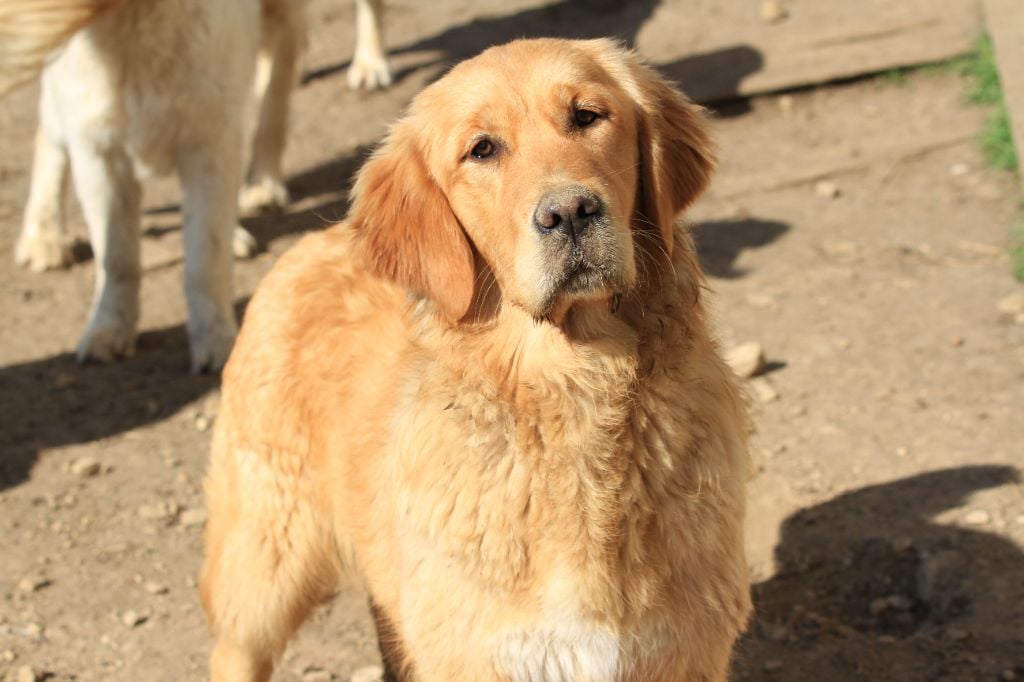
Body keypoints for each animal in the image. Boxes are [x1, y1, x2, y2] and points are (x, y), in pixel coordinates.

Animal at [2, 0, 391, 368]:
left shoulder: (211, 143)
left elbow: (205, 259)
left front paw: (216, 341)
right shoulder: (97, 149)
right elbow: (117, 258)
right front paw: (108, 329)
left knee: (275, 95)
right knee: (47, 132)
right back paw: (43, 234)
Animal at [201, 38, 753, 679]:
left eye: (587, 116)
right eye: (482, 150)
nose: (569, 212)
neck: (579, 387)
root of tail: (314, 240)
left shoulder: (685, 650)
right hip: (265, 564)